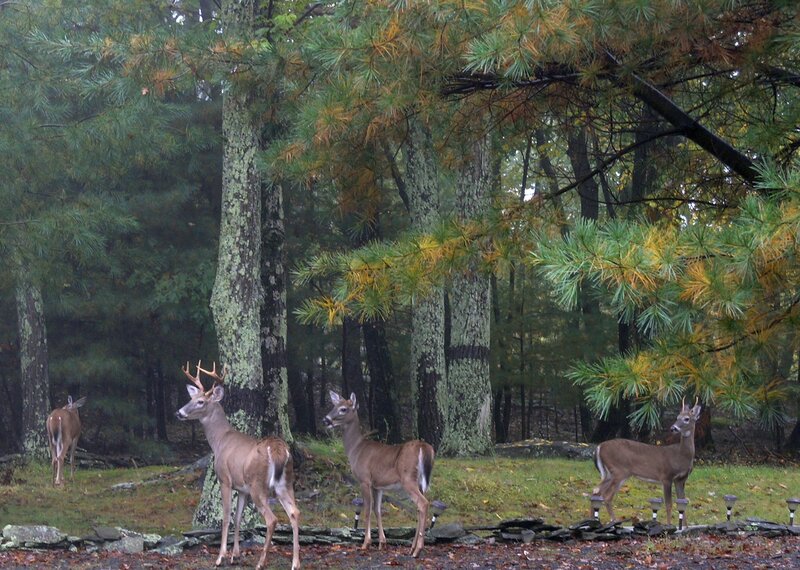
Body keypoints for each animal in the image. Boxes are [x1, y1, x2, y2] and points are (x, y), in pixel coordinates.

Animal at [175, 361, 300, 570]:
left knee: (272, 519)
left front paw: (221, 557)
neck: (219, 440)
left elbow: (226, 517)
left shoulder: (225, 480)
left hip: (259, 486)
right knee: (294, 512)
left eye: (201, 402)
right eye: (191, 397)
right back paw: (295, 563)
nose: (179, 412)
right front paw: (236, 555)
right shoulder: (242, 489)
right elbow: (238, 518)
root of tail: (279, 450)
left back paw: (261, 563)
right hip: (285, 483)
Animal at [323, 391, 435, 558]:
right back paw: (412, 548)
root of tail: (424, 447)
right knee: (419, 507)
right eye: (333, 406)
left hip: (408, 479)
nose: (326, 420)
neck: (356, 449)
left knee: (423, 503)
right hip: (421, 482)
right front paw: (382, 543)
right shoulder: (378, 485)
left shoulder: (364, 479)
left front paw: (366, 543)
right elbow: (378, 510)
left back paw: (417, 550)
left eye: (343, 409)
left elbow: (367, 510)